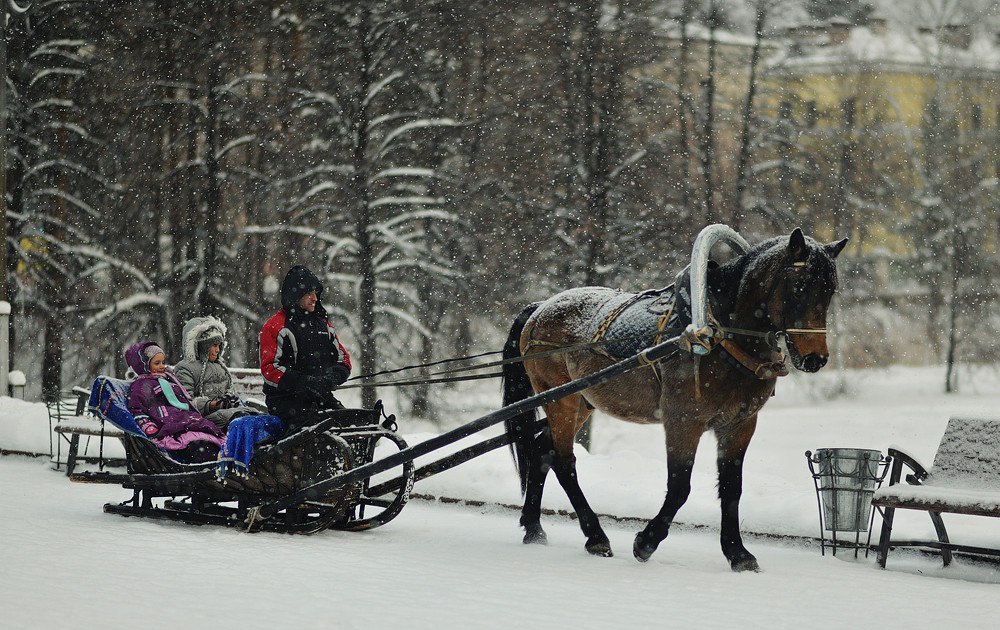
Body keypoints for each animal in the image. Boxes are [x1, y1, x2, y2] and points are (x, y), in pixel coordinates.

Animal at [498, 228, 844, 572]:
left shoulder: (740, 424)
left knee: (541, 451)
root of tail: (540, 307)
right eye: (799, 287)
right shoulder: (683, 422)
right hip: (562, 400)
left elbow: (732, 487)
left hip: (582, 402)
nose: (815, 358)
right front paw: (647, 541)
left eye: (830, 291)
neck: (718, 334)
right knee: (563, 460)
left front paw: (738, 553)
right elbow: (680, 487)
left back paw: (533, 527)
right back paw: (594, 535)